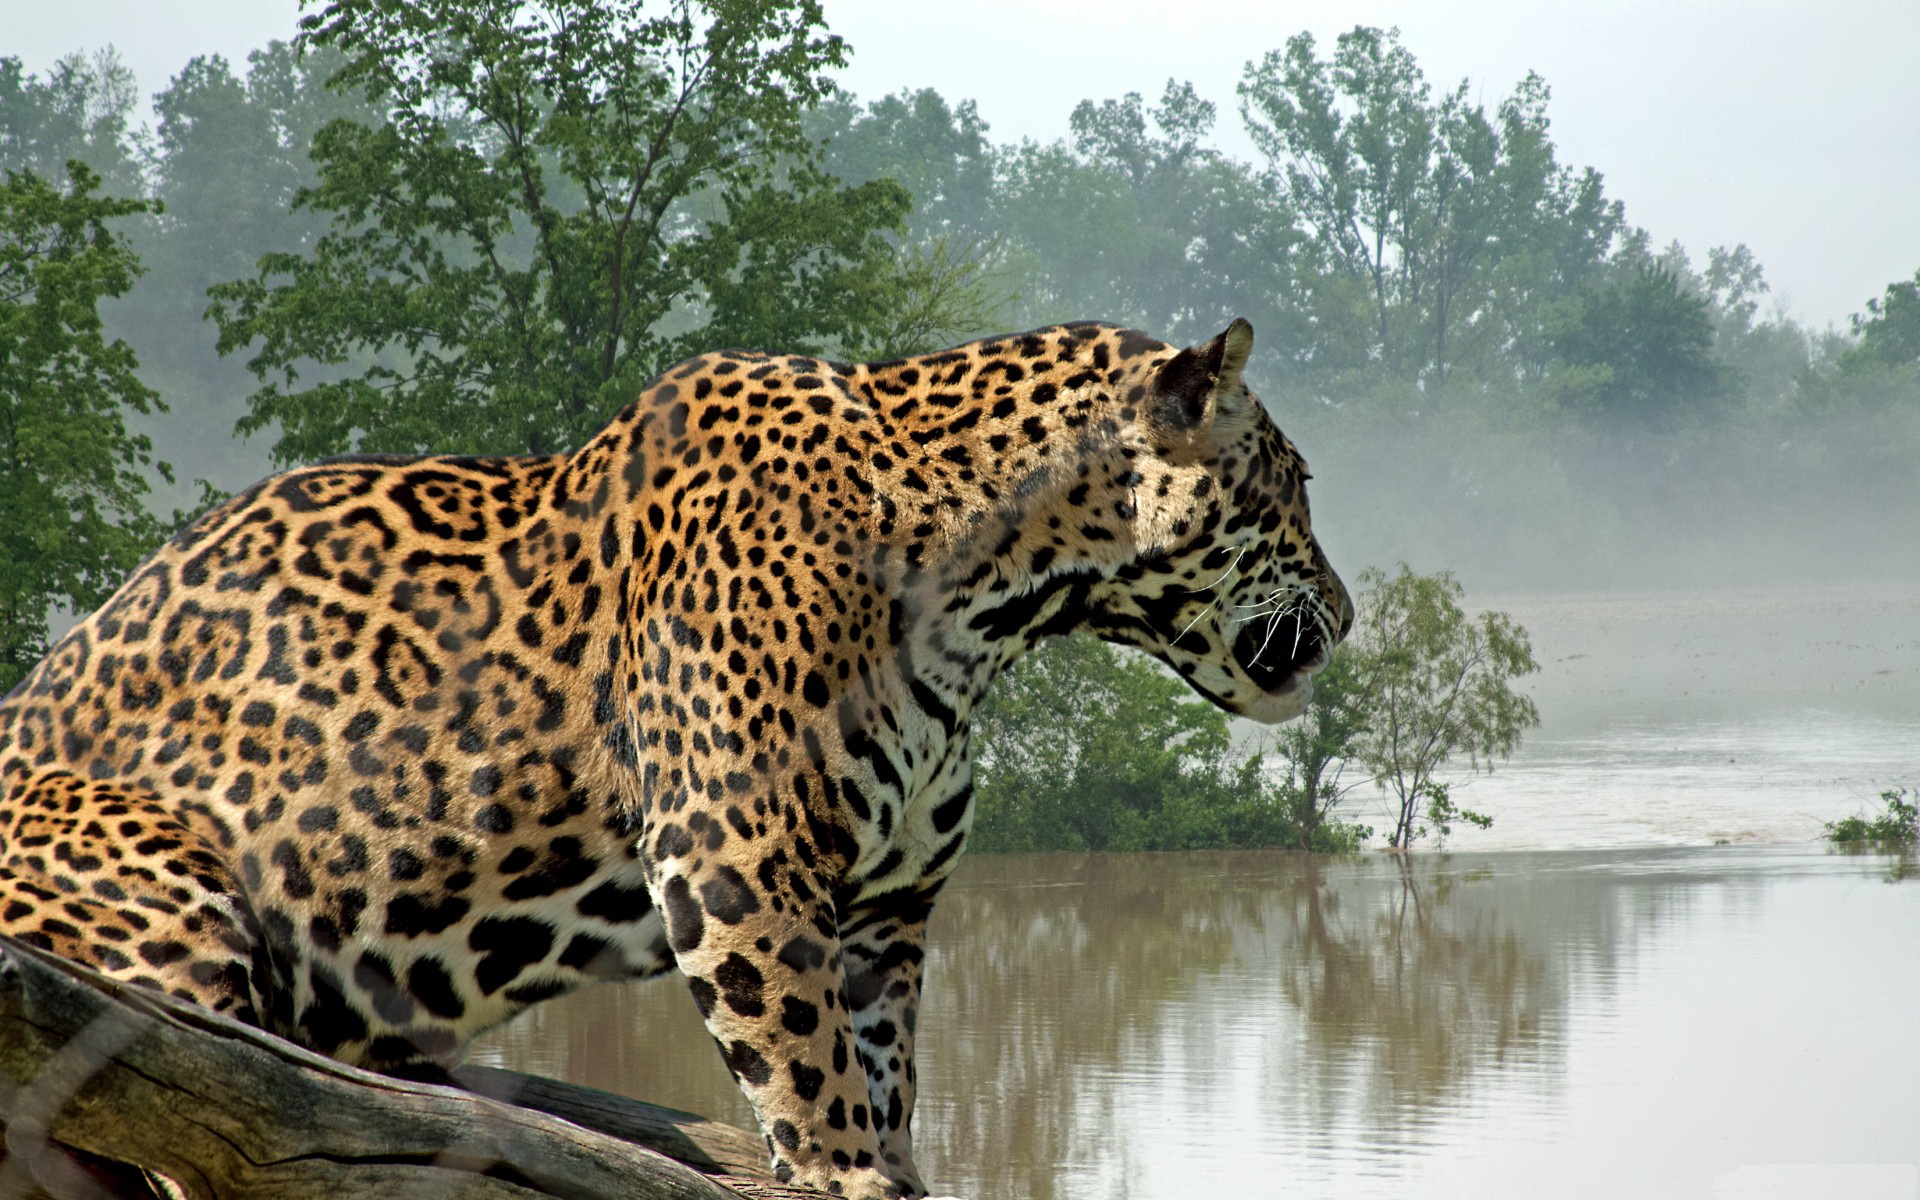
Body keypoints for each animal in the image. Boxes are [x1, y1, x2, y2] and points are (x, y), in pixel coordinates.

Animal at [0, 317, 1349, 1199]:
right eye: (1292, 488)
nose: (1343, 615)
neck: (997, 599)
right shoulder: (741, 856)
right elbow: (811, 1070)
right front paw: (848, 1177)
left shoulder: (887, 908)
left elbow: (884, 1066)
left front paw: (894, 1165)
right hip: (165, 894)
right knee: (201, 1114)